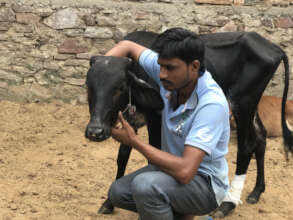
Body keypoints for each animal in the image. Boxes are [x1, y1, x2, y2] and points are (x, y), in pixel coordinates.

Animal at [84, 31, 292, 218]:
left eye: (120, 87)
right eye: (88, 86)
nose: (95, 131)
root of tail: (272, 46)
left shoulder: (155, 118)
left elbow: (153, 153)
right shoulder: (130, 119)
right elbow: (122, 156)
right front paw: (108, 203)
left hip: (243, 103)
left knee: (247, 146)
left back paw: (227, 203)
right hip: (251, 106)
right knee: (261, 136)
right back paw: (257, 191)